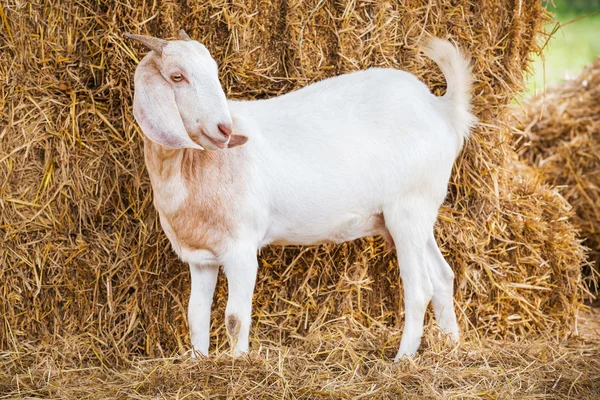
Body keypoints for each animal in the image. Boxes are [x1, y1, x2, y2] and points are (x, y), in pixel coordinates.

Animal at [124, 28, 476, 360]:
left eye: (213, 70)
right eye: (177, 76)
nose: (225, 129)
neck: (192, 165)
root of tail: (441, 109)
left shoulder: (241, 247)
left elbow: (235, 318)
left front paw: (238, 363)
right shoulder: (201, 258)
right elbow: (196, 317)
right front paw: (199, 361)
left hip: (407, 209)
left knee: (420, 289)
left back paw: (403, 358)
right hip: (415, 216)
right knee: (443, 277)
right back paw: (451, 346)